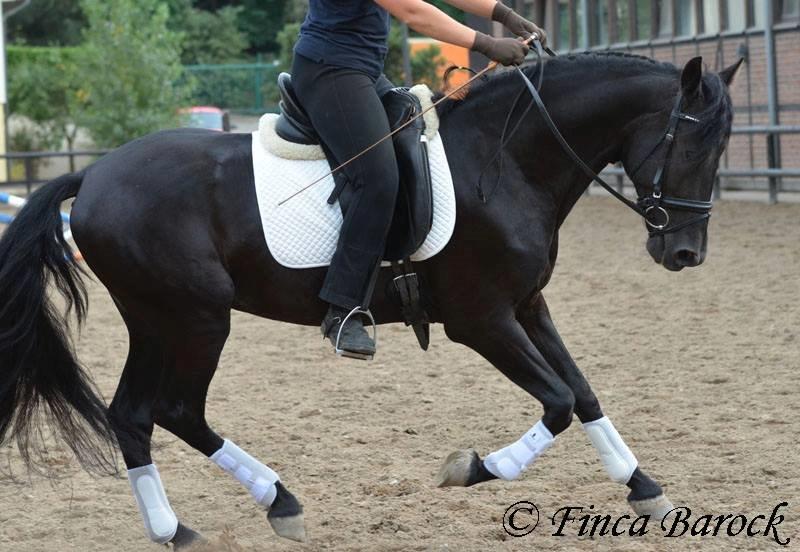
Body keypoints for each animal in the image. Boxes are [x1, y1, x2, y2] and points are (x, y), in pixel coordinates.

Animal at [0, 52, 736, 548]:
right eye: (696, 140)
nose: (686, 254)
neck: (503, 161)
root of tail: (96, 173)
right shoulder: (482, 319)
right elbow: (555, 401)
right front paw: (472, 468)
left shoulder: (529, 306)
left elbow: (582, 393)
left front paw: (644, 489)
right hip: (195, 318)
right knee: (174, 409)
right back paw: (247, 509)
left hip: (158, 321)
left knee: (136, 416)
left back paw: (212, 519)